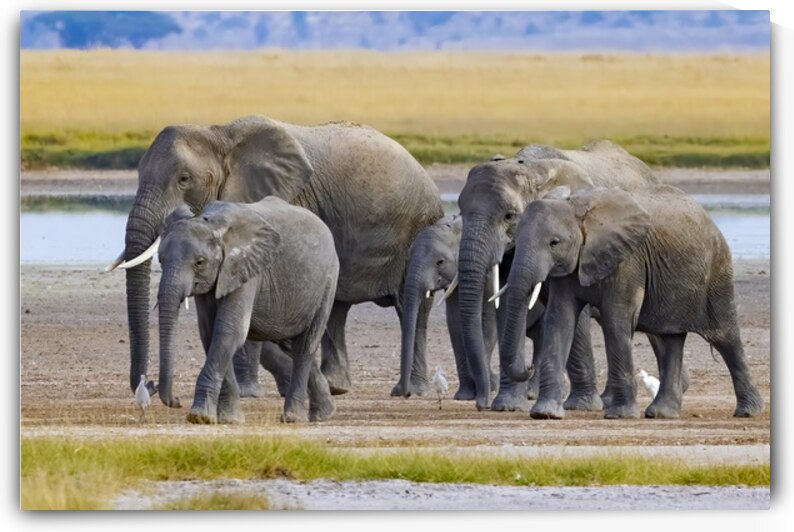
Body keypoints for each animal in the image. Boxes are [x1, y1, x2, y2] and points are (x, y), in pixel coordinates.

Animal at [111, 116, 443, 400]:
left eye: (184, 179)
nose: (149, 385)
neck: (220, 136)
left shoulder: (287, 200)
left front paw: (248, 392)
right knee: (337, 307)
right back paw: (335, 386)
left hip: (418, 226)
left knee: (412, 307)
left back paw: (412, 389)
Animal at [156, 197, 339, 424]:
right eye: (160, 259)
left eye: (199, 262)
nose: (176, 401)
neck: (213, 224)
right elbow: (210, 333)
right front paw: (230, 419)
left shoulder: (245, 268)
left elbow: (228, 331)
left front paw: (200, 417)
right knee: (291, 344)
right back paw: (324, 413)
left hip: (328, 281)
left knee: (305, 345)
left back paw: (293, 417)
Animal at [455, 141, 660, 411]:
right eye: (460, 211)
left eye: (509, 215)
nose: (482, 405)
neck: (532, 170)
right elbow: (509, 303)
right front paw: (507, 406)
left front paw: (581, 406)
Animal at [500, 185, 764, 420]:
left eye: (554, 243)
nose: (528, 367)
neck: (576, 208)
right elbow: (560, 321)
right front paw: (545, 413)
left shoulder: (628, 261)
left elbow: (616, 321)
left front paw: (619, 415)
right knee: (670, 340)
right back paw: (661, 414)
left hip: (716, 272)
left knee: (725, 337)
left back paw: (748, 411)